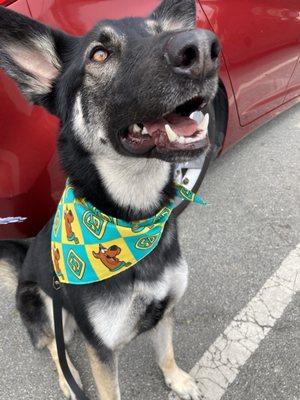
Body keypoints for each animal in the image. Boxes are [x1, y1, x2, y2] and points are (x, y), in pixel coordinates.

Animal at [0, 1, 220, 398]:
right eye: (99, 54)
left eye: (162, 32)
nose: (202, 49)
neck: (132, 219)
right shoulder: (99, 349)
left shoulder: (166, 309)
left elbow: (166, 351)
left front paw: (177, 379)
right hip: (41, 304)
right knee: (55, 347)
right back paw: (68, 381)